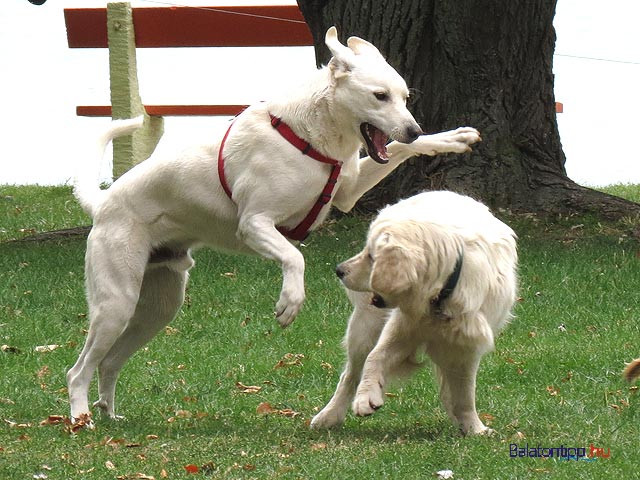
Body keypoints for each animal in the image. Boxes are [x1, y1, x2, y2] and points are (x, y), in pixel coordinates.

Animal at [69, 27, 480, 424]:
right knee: (79, 370)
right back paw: (81, 418)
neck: (314, 138)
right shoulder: (255, 223)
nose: (413, 128)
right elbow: (294, 258)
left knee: (108, 362)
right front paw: (290, 302)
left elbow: (397, 150)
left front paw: (449, 139)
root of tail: (104, 203)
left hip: (157, 309)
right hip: (116, 303)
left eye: (404, 97)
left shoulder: (347, 193)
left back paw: (110, 413)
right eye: (379, 96)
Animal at [312, 191, 516, 436]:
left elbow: (465, 394)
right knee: (350, 375)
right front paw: (366, 397)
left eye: (372, 256)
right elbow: (375, 357)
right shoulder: (403, 326)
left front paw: (473, 427)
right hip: (364, 329)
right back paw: (329, 416)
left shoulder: (466, 345)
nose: (339, 270)